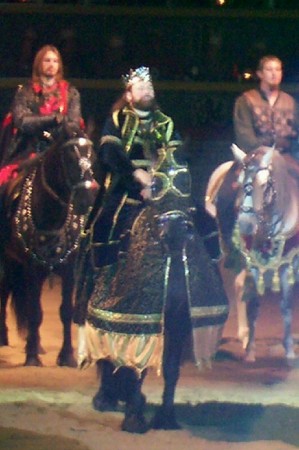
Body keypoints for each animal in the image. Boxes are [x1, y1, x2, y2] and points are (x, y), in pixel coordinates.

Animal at [0, 132, 99, 368]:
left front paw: (67, 356)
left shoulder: (68, 268)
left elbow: (65, 312)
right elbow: (35, 311)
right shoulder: (32, 268)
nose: (86, 198)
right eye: (69, 157)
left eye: (92, 156)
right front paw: (32, 357)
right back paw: (5, 337)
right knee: (4, 291)